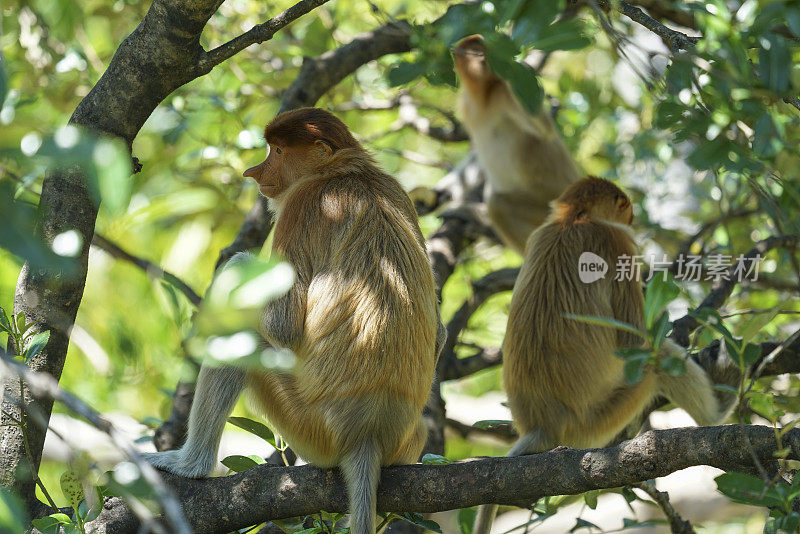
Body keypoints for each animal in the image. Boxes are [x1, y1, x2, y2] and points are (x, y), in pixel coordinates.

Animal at [144, 109, 444, 534]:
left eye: (279, 151)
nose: (254, 171)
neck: (343, 171)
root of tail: (367, 434)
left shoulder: (303, 205)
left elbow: (281, 325)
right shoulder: (397, 189)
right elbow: (440, 332)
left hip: (307, 425)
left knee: (244, 335)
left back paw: (191, 466)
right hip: (403, 437)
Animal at [450, 35, 580, 255]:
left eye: (483, 50)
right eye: (475, 51)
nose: (484, 59)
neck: (483, 96)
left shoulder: (503, 94)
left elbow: (544, 130)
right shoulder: (467, 107)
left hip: (552, 206)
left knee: (498, 204)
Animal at [472, 179, 736, 534]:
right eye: (624, 207)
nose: (633, 215)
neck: (574, 219)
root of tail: (544, 425)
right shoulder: (617, 242)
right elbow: (635, 339)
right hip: (599, 418)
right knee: (656, 360)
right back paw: (718, 407)